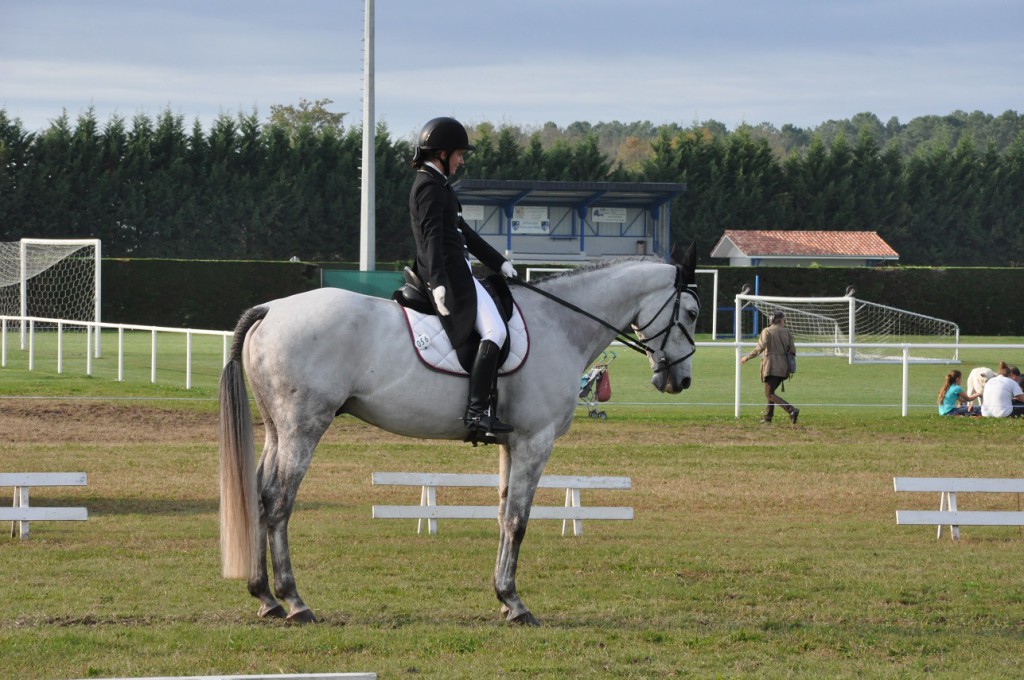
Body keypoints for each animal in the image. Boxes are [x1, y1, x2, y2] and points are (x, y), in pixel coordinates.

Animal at [220, 245, 700, 626]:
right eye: (693, 313)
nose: (681, 380)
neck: (560, 325)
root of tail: (272, 309)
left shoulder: (512, 443)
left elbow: (504, 515)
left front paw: (504, 598)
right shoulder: (535, 442)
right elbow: (518, 520)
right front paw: (515, 604)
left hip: (277, 431)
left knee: (259, 497)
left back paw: (265, 597)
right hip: (303, 429)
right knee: (279, 503)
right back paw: (294, 601)